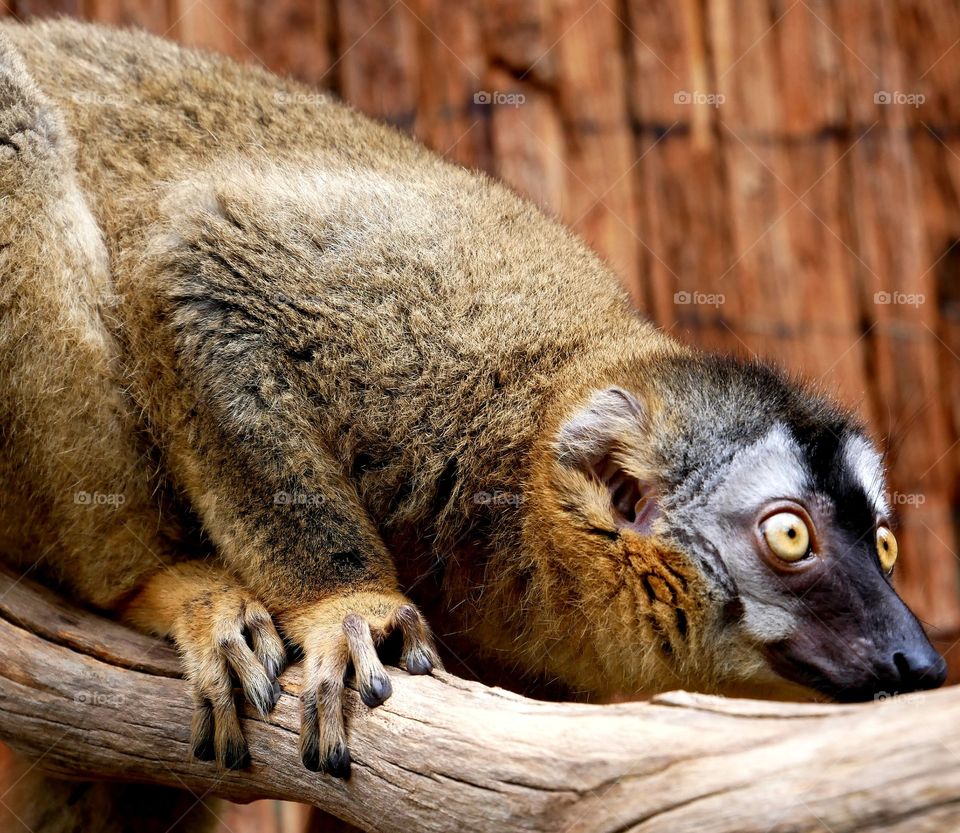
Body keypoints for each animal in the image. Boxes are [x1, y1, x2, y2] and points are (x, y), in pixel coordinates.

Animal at [0, 18, 946, 833]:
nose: (920, 663)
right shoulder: (429, 340)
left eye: (885, 546)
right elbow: (200, 263)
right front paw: (348, 601)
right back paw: (162, 584)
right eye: (790, 536)